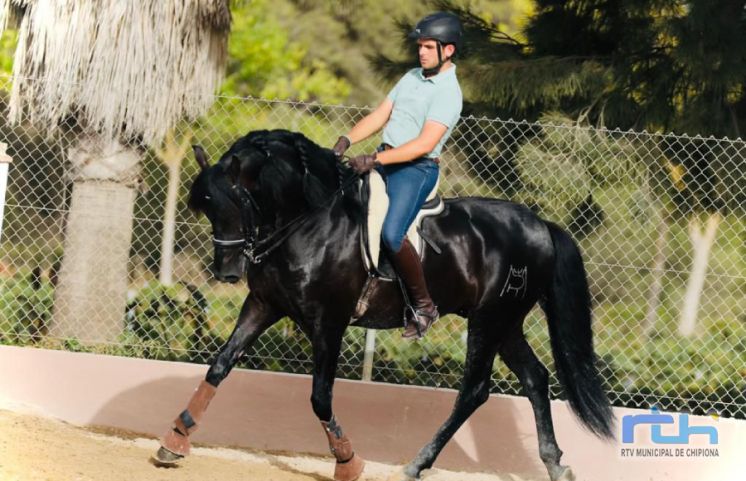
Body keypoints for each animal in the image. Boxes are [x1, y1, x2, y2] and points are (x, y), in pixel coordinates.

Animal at [154, 128, 612, 480]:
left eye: (239, 202)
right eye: (208, 208)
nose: (227, 272)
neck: (308, 222)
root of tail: (540, 225)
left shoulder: (329, 322)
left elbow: (320, 397)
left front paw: (348, 462)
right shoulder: (264, 304)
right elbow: (219, 366)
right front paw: (175, 439)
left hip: (489, 320)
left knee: (474, 391)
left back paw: (415, 465)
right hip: (505, 323)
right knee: (535, 378)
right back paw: (555, 465)